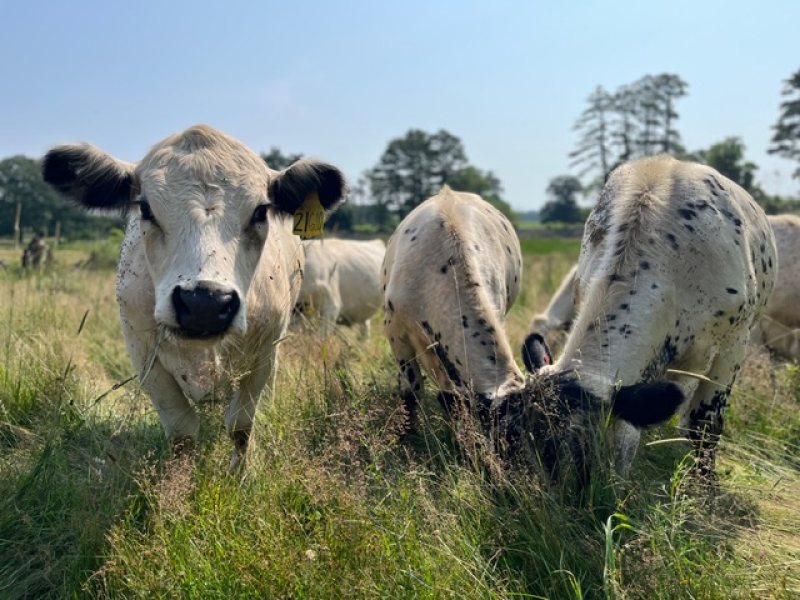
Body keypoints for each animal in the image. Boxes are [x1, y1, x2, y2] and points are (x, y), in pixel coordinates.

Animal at [42, 125, 346, 468]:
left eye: (260, 211)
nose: (205, 303)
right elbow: (182, 433)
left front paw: (239, 475)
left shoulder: (265, 350)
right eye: (145, 208)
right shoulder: (142, 351)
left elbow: (241, 425)